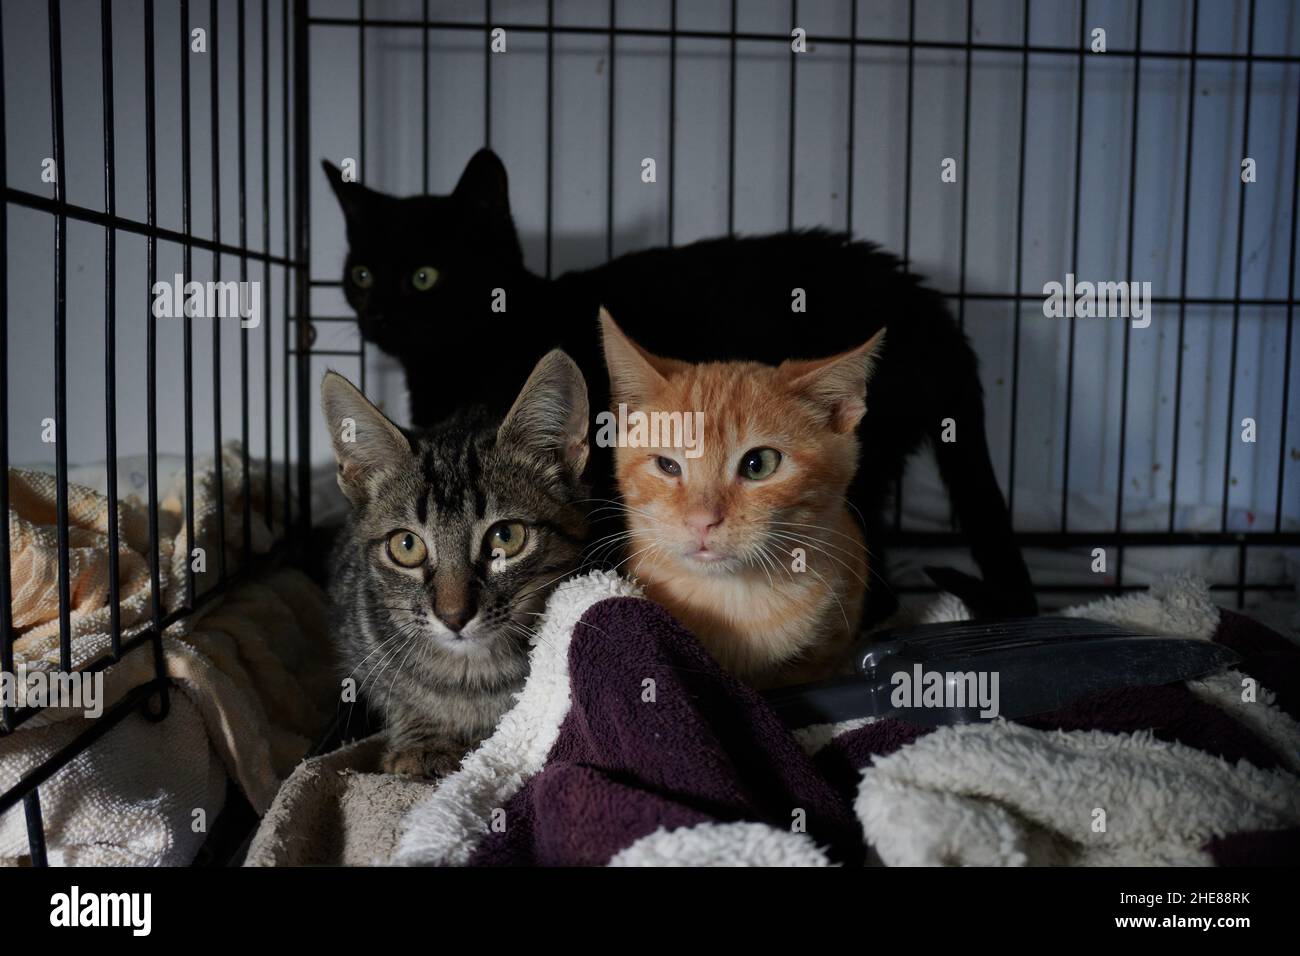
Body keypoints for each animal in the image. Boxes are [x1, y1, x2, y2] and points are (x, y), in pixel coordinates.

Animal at [322, 351, 592, 780]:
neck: (469, 674)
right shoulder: (358, 639)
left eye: (505, 537)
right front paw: (422, 741)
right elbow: (397, 693)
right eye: (406, 545)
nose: (453, 616)